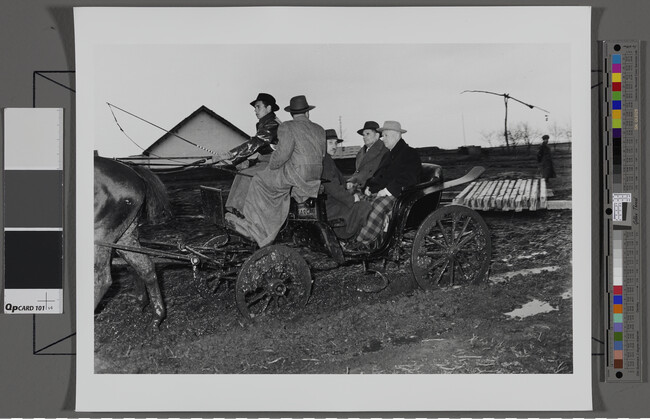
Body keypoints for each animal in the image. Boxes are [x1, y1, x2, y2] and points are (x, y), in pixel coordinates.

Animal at [93, 158, 172, 332]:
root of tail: (134, 173)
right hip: (124, 237)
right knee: (145, 267)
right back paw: (157, 316)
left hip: (101, 234)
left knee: (102, 279)